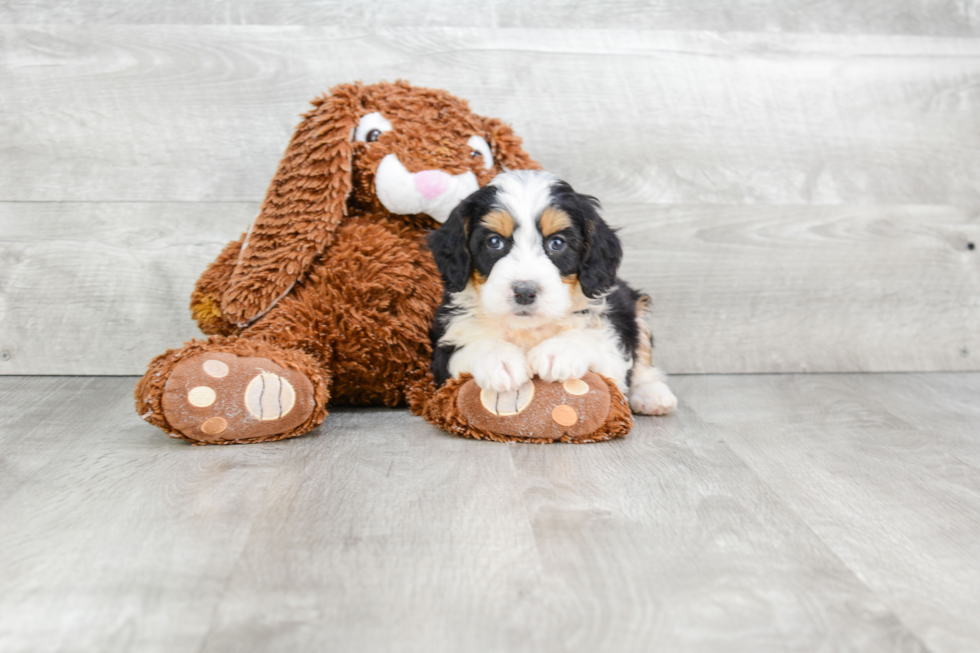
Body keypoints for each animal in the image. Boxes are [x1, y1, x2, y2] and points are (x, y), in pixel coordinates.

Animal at [424, 168, 676, 412]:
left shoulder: (612, 339)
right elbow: (472, 343)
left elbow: (594, 338)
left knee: (643, 355)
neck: (528, 328)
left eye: (557, 243)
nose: (524, 292)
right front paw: (500, 360)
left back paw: (651, 394)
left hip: (634, 305)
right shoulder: (445, 348)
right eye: (494, 242)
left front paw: (558, 352)